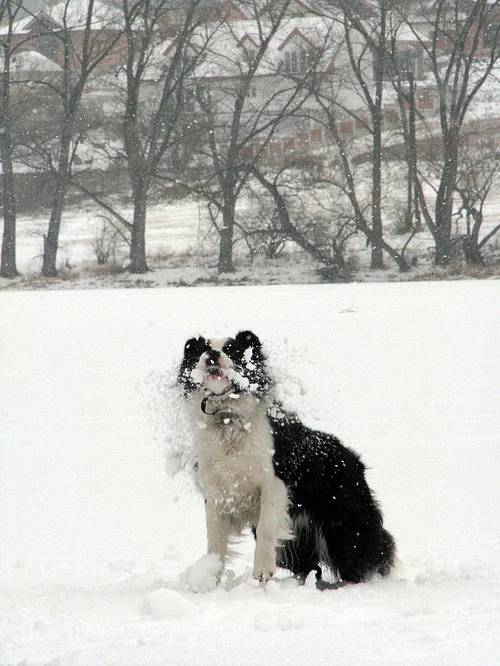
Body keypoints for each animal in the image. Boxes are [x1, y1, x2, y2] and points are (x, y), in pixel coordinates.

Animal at [176, 330, 394, 584]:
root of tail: (354, 461)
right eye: (202, 350)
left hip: (344, 523)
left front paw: (261, 572)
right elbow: (215, 539)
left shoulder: (274, 480)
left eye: (232, 350)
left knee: (362, 555)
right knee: (309, 564)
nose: (212, 354)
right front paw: (207, 579)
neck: (228, 418)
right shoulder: (216, 488)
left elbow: (266, 527)